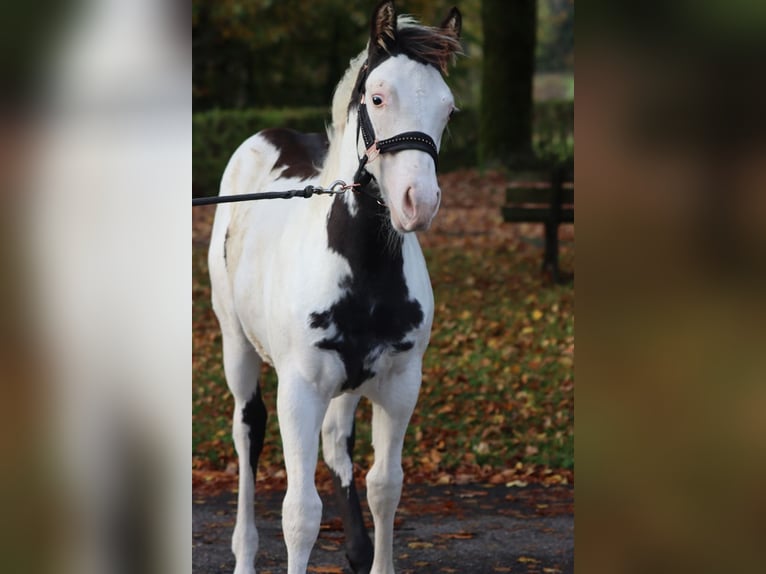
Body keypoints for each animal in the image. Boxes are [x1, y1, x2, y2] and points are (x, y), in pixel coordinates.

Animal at [207, 2, 462, 572]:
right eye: (378, 97)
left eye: (449, 110)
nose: (418, 202)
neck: (362, 269)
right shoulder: (299, 388)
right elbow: (300, 514)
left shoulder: (400, 385)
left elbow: (385, 487)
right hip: (236, 343)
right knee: (247, 431)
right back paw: (243, 552)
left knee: (335, 443)